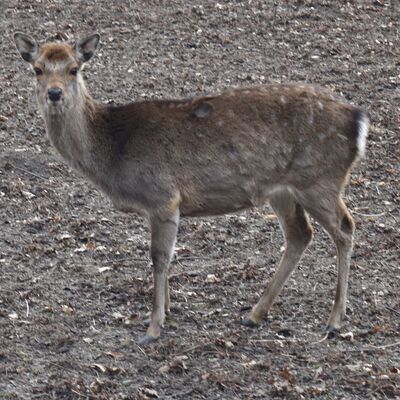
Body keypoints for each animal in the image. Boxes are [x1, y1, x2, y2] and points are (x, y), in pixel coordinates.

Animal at [13, 32, 368, 346]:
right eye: (37, 69)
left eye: (74, 68)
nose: (54, 93)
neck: (113, 150)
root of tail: (359, 120)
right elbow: (166, 258)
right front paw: (165, 311)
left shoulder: (162, 196)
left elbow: (159, 257)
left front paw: (153, 327)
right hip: (282, 190)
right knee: (300, 234)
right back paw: (254, 314)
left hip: (318, 180)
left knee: (345, 228)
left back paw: (334, 320)